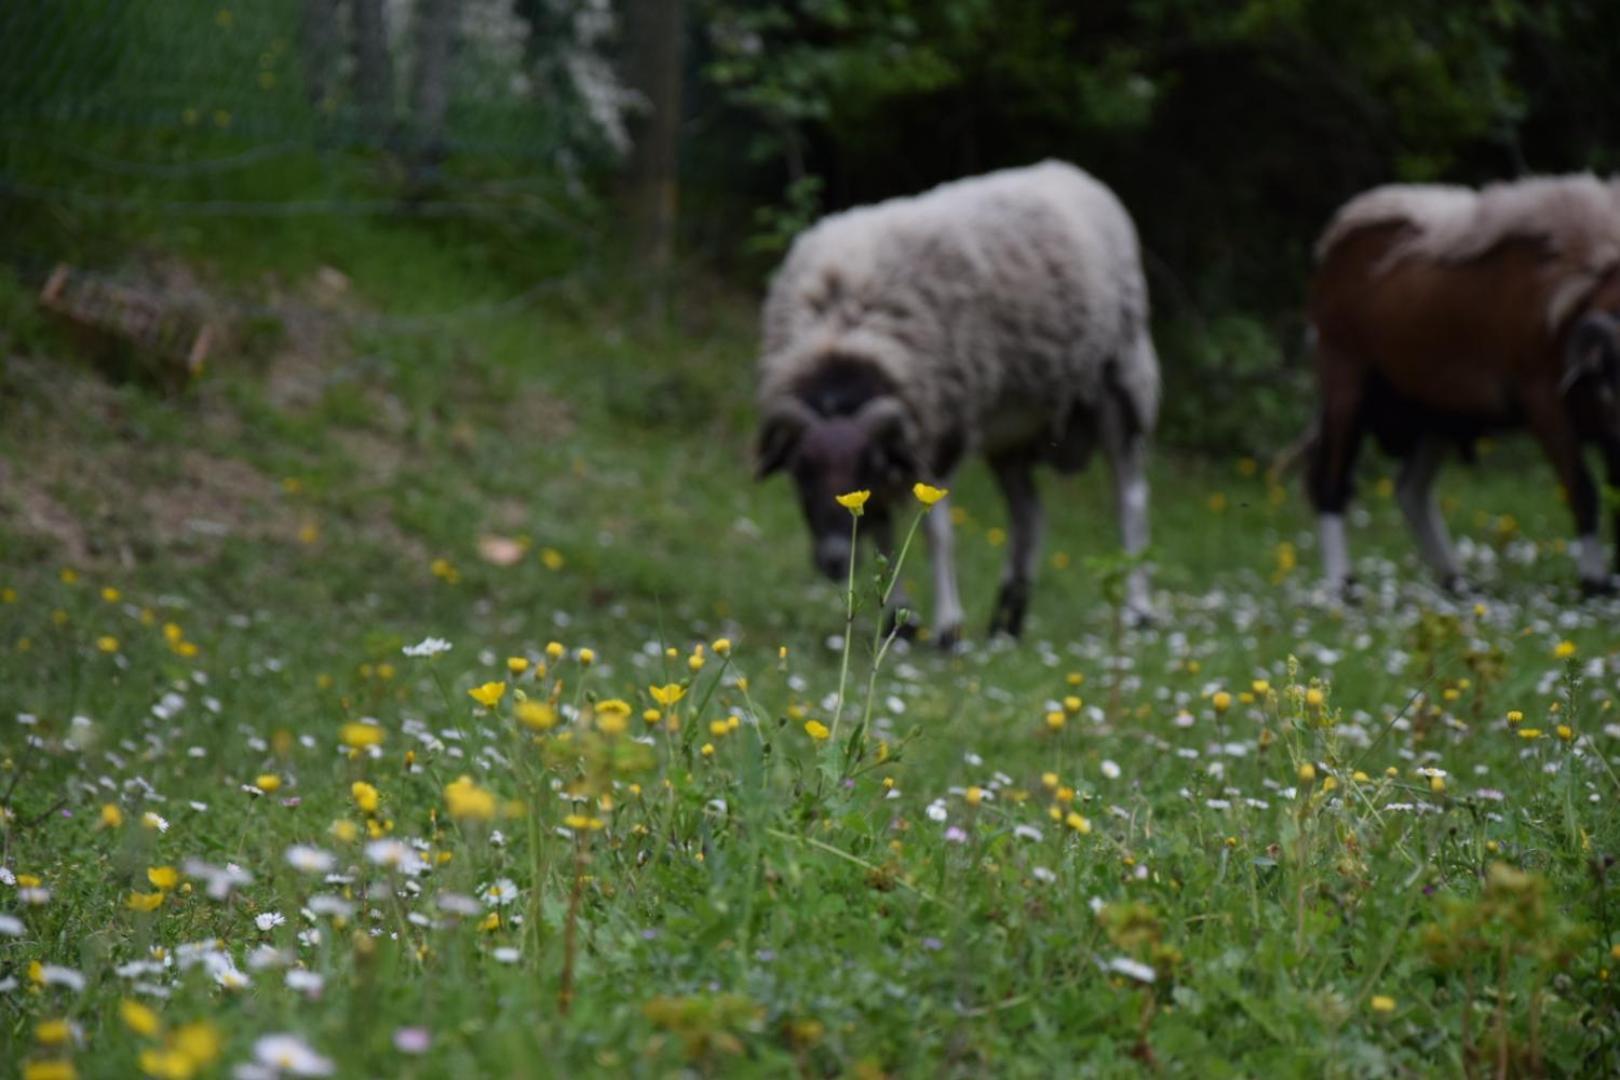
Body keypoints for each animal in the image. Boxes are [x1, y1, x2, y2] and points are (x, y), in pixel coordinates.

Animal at [751, 160, 1159, 641]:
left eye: (862, 463)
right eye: (802, 471)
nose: (832, 559)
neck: (847, 349)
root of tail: (1070, 171)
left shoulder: (940, 427)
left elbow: (935, 533)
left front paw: (947, 628)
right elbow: (881, 530)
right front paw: (900, 620)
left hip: (1122, 382)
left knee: (1130, 500)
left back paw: (1139, 611)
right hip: (1012, 432)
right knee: (1028, 515)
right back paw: (1007, 620)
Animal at [1302, 178, 1620, 599]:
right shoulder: (1544, 400)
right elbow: (1584, 490)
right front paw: (1595, 582)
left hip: (1433, 407)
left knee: (1411, 491)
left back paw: (1456, 583)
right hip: (1346, 378)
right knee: (1330, 482)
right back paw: (1344, 587)